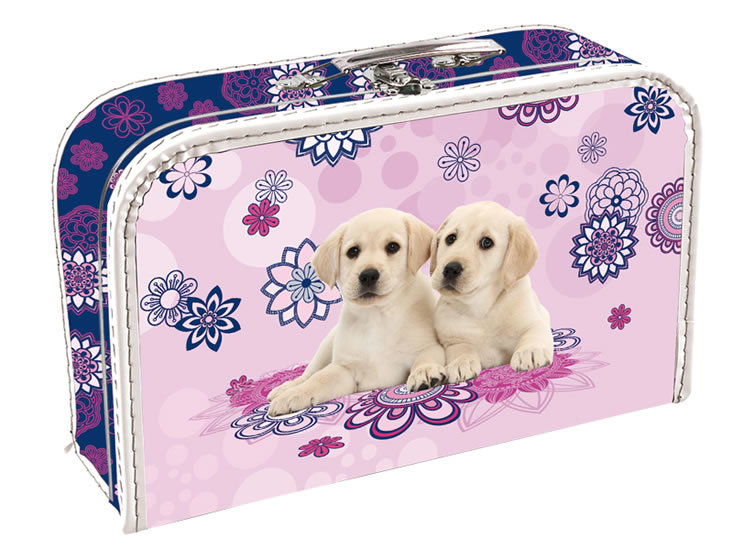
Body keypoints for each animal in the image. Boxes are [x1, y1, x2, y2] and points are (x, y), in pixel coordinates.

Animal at [267, 208, 446, 416]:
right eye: (353, 251)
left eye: (393, 247)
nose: (368, 275)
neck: (378, 315)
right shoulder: (344, 368)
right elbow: (319, 379)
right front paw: (294, 394)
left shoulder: (429, 346)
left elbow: (426, 357)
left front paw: (424, 371)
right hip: (325, 347)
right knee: (309, 373)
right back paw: (285, 388)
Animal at [429, 201, 553, 384]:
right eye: (450, 238)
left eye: (487, 242)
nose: (450, 269)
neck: (480, 306)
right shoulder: (452, 340)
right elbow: (462, 348)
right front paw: (461, 362)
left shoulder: (537, 319)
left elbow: (534, 332)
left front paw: (530, 351)